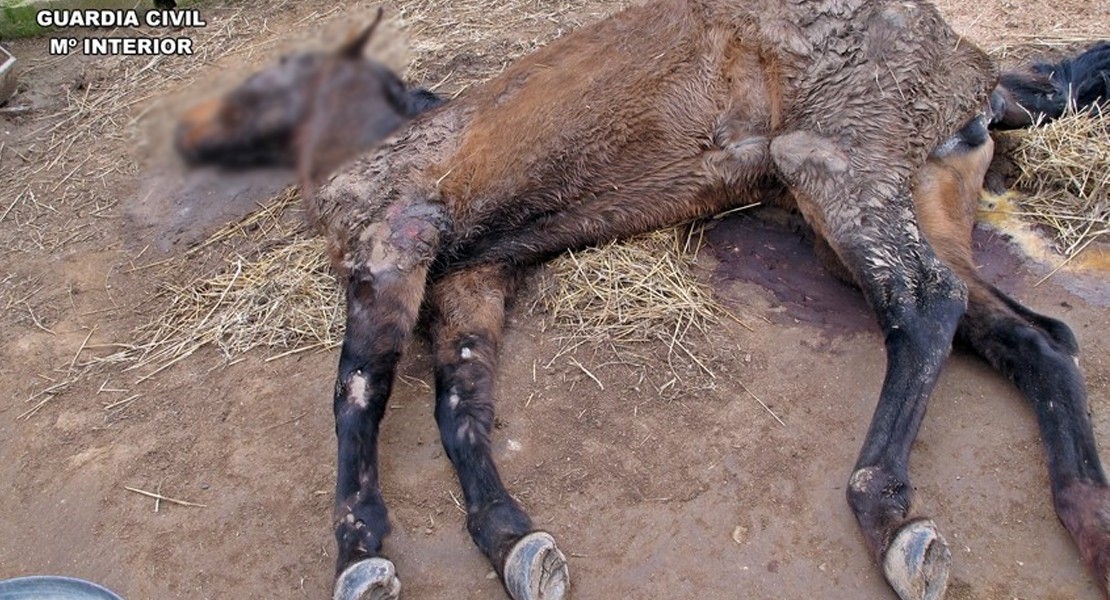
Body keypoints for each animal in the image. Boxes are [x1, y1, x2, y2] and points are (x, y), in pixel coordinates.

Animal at [173, 1, 1110, 598]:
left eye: (271, 78)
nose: (185, 133)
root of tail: (970, 68)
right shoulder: (472, 280)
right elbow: (459, 409)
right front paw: (514, 543)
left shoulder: (393, 242)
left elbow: (357, 396)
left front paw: (358, 554)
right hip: (910, 191)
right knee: (1036, 339)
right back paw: (1090, 523)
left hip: (834, 166)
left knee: (923, 306)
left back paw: (888, 515)